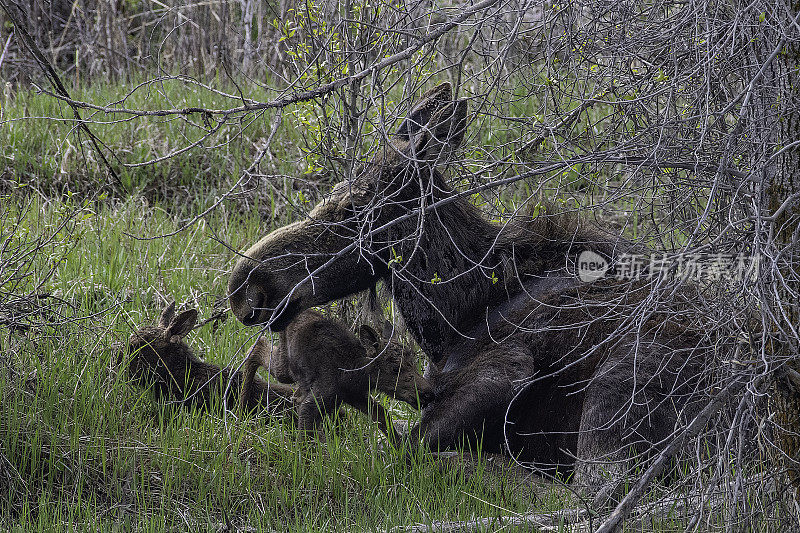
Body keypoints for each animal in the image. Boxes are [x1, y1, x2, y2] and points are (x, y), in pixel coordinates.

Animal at [241, 308, 434, 440]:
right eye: (395, 368)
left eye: (414, 363)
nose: (428, 393)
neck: (356, 374)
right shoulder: (318, 400)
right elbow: (305, 438)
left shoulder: (354, 395)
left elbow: (382, 415)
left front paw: (402, 453)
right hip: (285, 369)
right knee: (256, 346)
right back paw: (242, 405)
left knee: (295, 395)